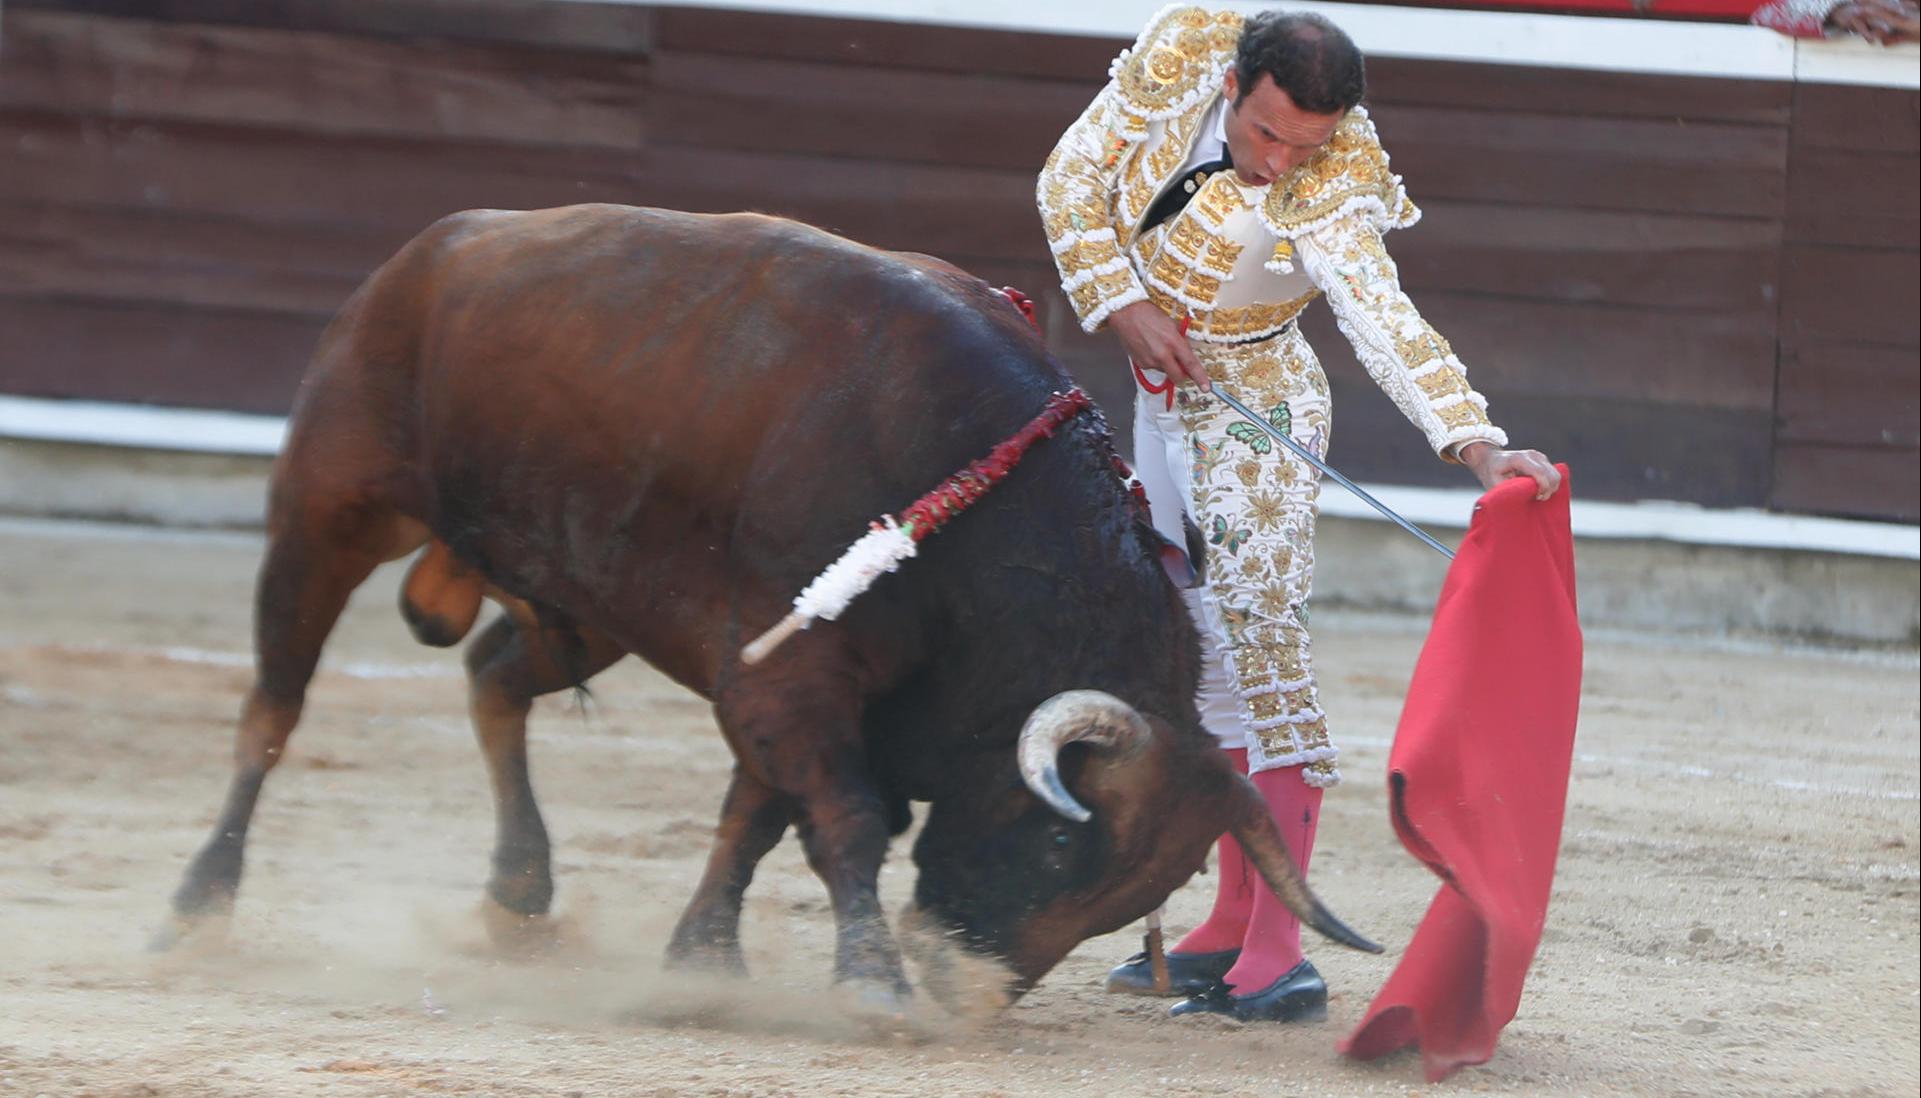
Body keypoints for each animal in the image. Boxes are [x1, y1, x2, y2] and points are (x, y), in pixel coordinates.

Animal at [157, 205, 1375, 1013]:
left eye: (1133, 897)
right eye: (1060, 848)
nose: (965, 996)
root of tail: (434, 248)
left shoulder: (772, 672)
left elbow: (756, 815)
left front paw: (703, 955)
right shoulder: (792, 672)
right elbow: (839, 815)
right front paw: (870, 983)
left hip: (580, 594)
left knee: (493, 676)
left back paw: (520, 887)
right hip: (328, 509)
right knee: (273, 707)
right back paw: (198, 904)